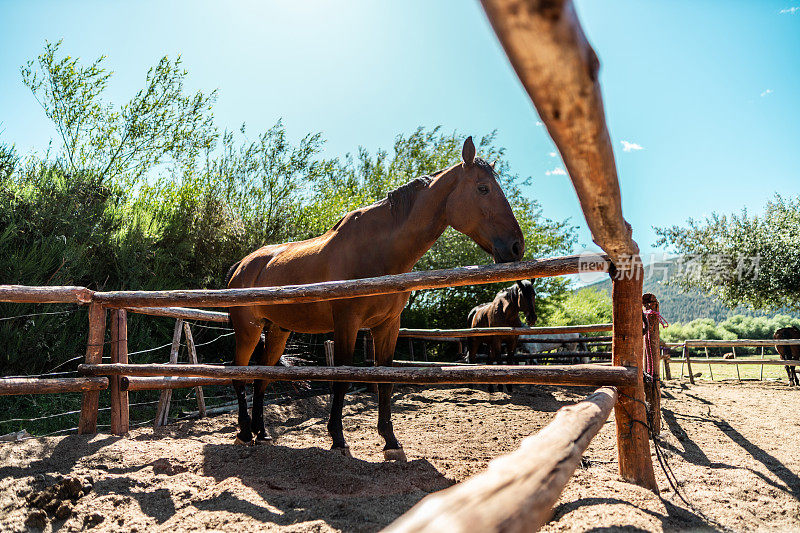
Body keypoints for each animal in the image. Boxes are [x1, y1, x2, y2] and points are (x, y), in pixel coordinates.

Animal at [225, 139, 524, 460]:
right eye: (483, 188)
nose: (517, 246)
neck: (380, 251)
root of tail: (242, 266)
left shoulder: (387, 326)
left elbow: (385, 380)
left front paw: (391, 441)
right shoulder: (347, 323)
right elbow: (343, 378)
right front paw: (338, 439)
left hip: (277, 331)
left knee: (261, 377)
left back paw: (262, 433)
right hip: (248, 331)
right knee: (239, 375)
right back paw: (244, 433)